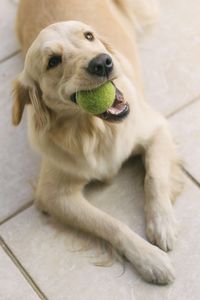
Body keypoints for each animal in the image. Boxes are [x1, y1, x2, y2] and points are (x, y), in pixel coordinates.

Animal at [11, 0, 183, 284]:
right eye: (53, 61)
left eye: (88, 36)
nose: (102, 62)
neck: (95, 130)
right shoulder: (53, 195)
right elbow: (109, 223)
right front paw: (150, 258)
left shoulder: (156, 128)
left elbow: (154, 178)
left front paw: (163, 223)